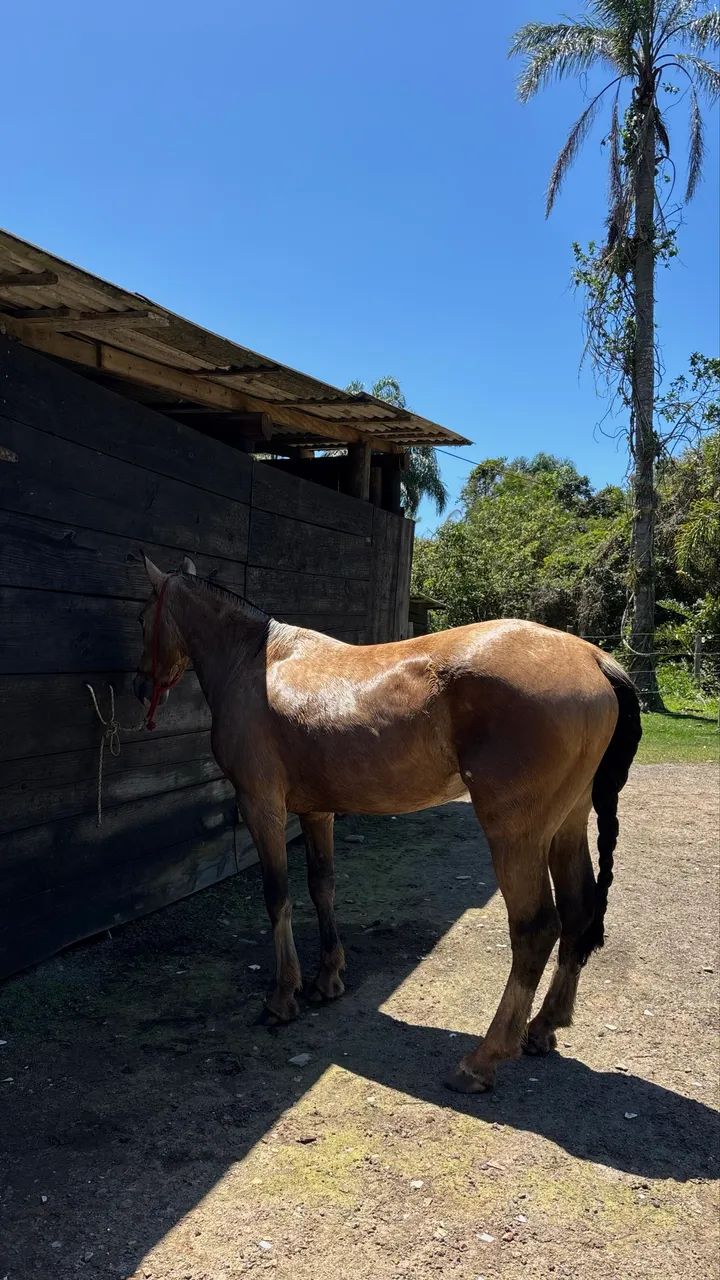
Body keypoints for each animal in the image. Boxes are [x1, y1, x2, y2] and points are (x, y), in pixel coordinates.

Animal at [133, 555, 641, 1093]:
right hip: (567, 824)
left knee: (536, 929)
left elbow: (278, 897)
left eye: (142, 619)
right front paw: (327, 979)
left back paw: (483, 1059)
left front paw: (283, 996)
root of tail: (592, 658)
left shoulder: (262, 808)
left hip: (516, 836)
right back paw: (544, 1026)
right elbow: (322, 887)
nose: (140, 686)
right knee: (578, 909)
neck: (261, 662)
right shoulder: (317, 812)